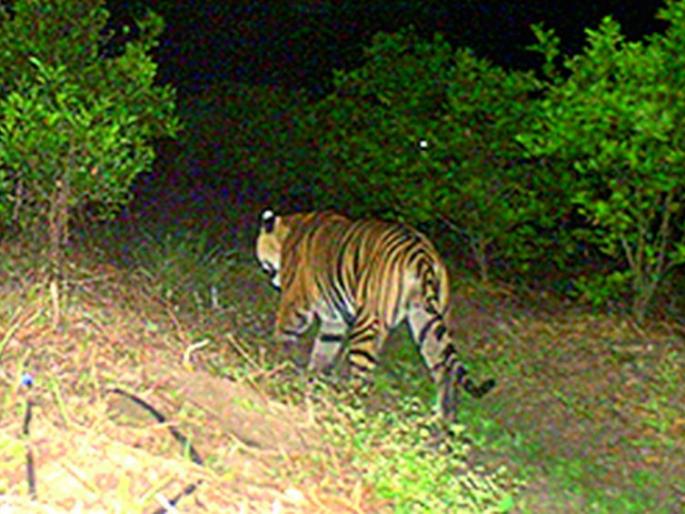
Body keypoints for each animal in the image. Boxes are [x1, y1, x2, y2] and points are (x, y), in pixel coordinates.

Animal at [255, 209, 495, 422]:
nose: (271, 278)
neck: (289, 232)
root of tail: (422, 255)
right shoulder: (334, 318)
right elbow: (324, 349)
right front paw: (313, 377)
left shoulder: (296, 302)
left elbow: (284, 331)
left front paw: (277, 360)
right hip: (427, 321)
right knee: (444, 369)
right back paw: (444, 419)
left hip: (368, 321)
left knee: (362, 370)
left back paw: (345, 403)